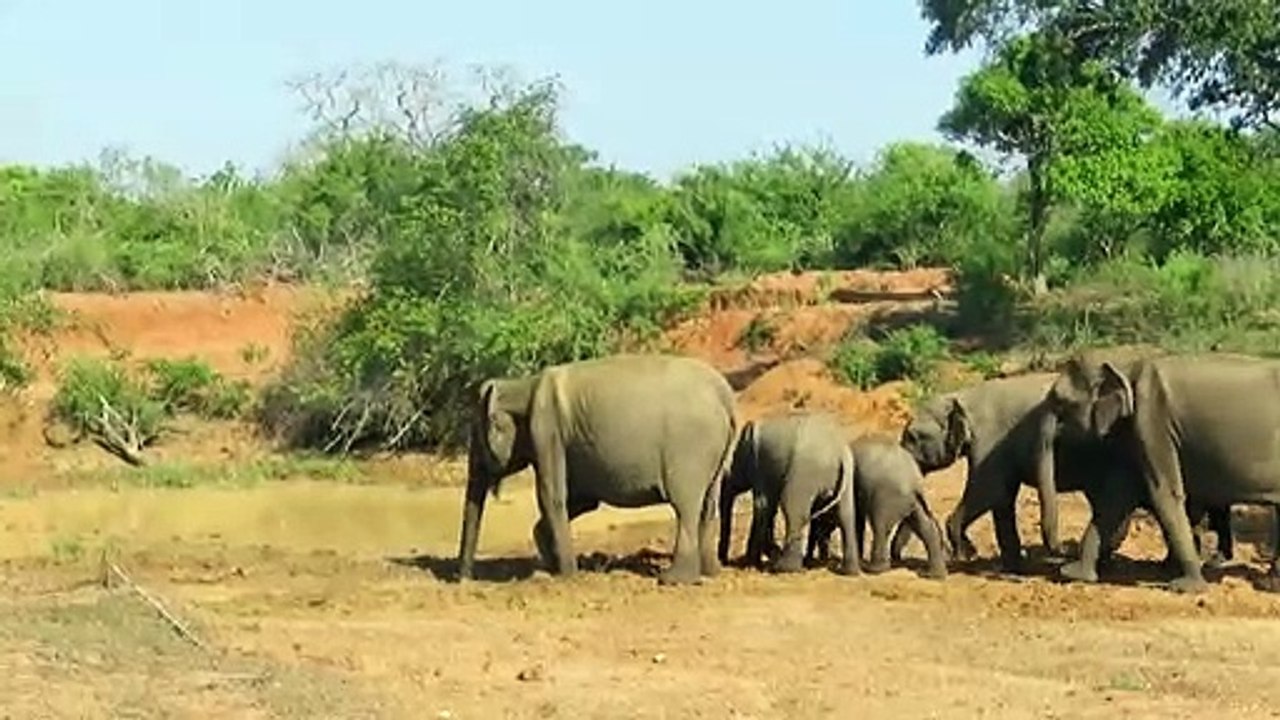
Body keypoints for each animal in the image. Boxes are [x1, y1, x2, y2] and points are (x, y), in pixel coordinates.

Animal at [457, 353, 738, 586]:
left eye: (477, 440)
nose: (463, 580)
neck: (522, 385)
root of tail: (726, 396)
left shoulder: (546, 431)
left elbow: (551, 496)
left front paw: (567, 576)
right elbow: (583, 500)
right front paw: (549, 566)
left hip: (691, 450)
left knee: (685, 506)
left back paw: (673, 580)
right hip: (715, 454)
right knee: (708, 505)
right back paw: (710, 573)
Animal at [717, 412, 860, 575]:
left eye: (732, 464)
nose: (723, 561)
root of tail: (840, 453)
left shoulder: (761, 468)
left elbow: (763, 505)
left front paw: (754, 562)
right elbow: (768, 508)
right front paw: (763, 557)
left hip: (804, 472)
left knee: (793, 509)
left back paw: (784, 568)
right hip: (846, 479)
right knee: (846, 515)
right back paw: (848, 571)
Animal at [900, 372, 1236, 575]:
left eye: (913, 437)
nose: (1060, 548)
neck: (961, 396)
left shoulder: (990, 439)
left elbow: (989, 489)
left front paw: (964, 553)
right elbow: (1002, 498)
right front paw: (1012, 566)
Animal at [1044, 350, 1280, 594]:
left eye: (1062, 402)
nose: (1062, 549)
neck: (1129, 363)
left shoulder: (1152, 419)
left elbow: (1164, 492)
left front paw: (1187, 586)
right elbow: (1120, 495)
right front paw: (1074, 573)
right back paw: (1267, 583)